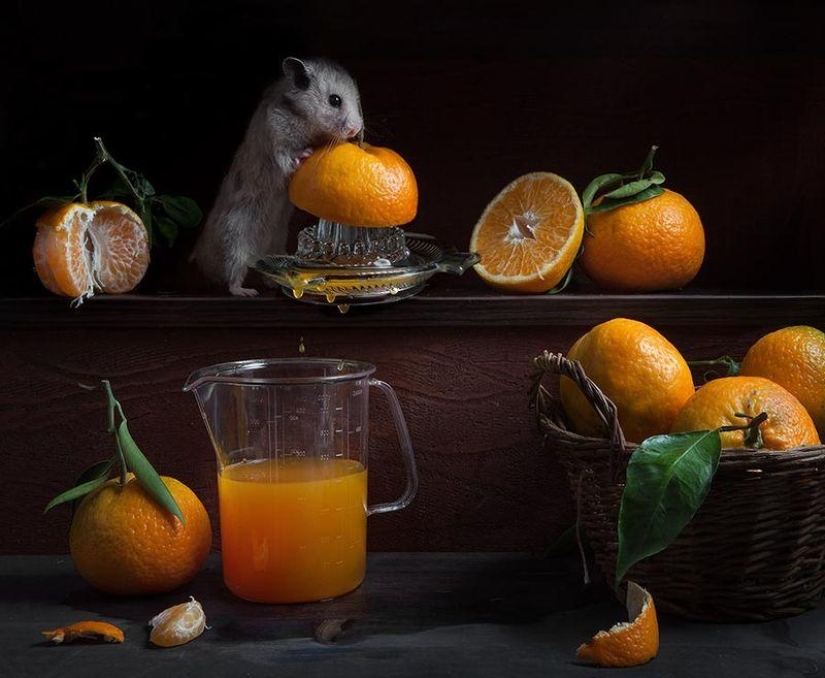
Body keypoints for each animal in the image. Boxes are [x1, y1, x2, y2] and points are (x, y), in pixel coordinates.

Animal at [192, 57, 363, 296]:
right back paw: (246, 291)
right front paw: (305, 154)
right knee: (233, 277)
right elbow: (287, 158)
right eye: (335, 100)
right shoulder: (276, 137)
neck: (306, 120)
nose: (356, 130)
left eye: (357, 100)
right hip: (234, 239)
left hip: (276, 240)